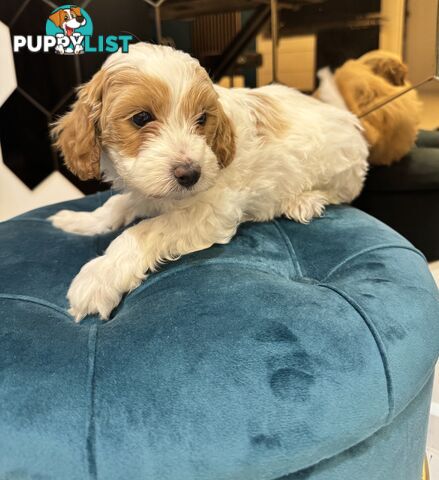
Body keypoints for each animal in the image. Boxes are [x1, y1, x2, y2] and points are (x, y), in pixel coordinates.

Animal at [49, 43, 370, 320]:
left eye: (202, 119)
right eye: (141, 118)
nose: (191, 174)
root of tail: (345, 115)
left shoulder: (212, 211)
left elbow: (143, 231)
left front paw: (99, 276)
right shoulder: (147, 191)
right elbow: (116, 205)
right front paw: (80, 221)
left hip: (340, 170)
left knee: (339, 193)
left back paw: (304, 201)